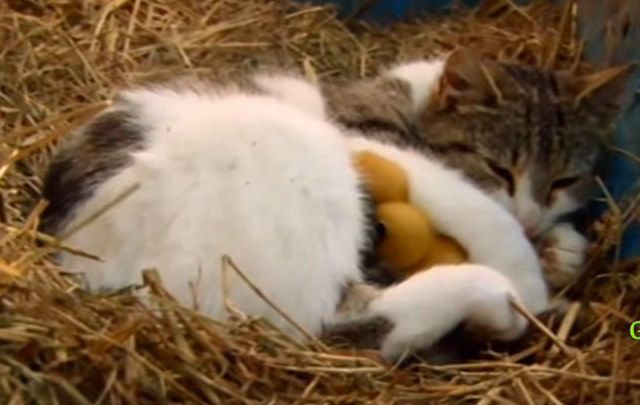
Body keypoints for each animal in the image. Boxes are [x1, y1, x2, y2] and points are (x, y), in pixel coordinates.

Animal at [42, 63, 548, 360]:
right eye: (501, 167)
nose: (536, 218)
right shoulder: (376, 147)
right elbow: (472, 203)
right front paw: (530, 281)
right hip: (306, 164)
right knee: (355, 326)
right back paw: (498, 302)